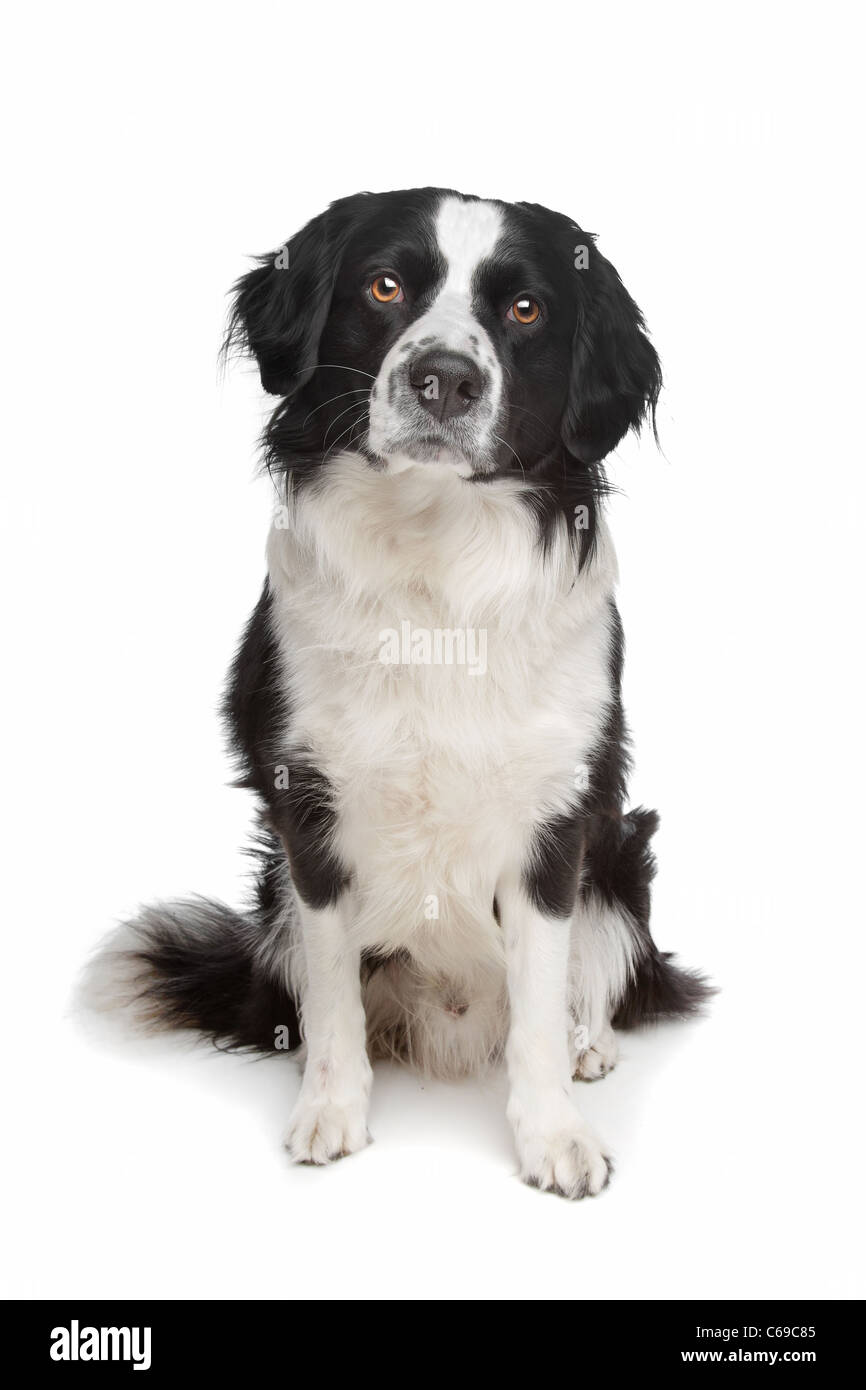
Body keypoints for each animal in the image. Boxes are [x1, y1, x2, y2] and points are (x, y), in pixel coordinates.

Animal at [89, 190, 711, 1200]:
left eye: (526, 309)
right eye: (384, 286)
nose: (445, 380)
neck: (436, 564)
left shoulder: (557, 819)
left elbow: (540, 1005)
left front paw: (553, 1136)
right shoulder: (311, 811)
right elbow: (335, 995)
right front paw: (331, 1109)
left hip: (622, 853)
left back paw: (591, 1046)